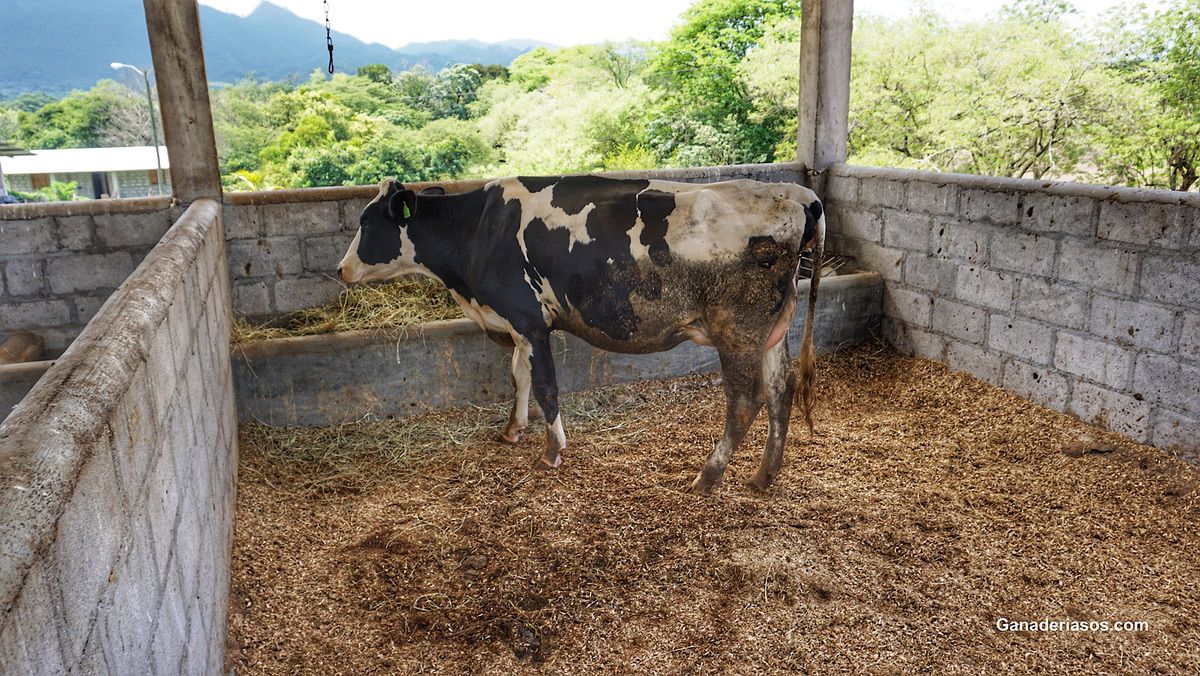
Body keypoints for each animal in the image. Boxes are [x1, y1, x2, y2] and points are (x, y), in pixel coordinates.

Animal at [338, 174, 825, 494]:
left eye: (368, 223)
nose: (340, 269)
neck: (479, 233)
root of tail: (798, 193)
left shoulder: (529, 321)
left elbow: (546, 387)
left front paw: (552, 451)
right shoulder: (517, 324)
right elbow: (518, 377)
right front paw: (512, 430)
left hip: (736, 331)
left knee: (745, 402)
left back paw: (707, 477)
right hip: (773, 330)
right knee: (781, 389)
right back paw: (763, 476)